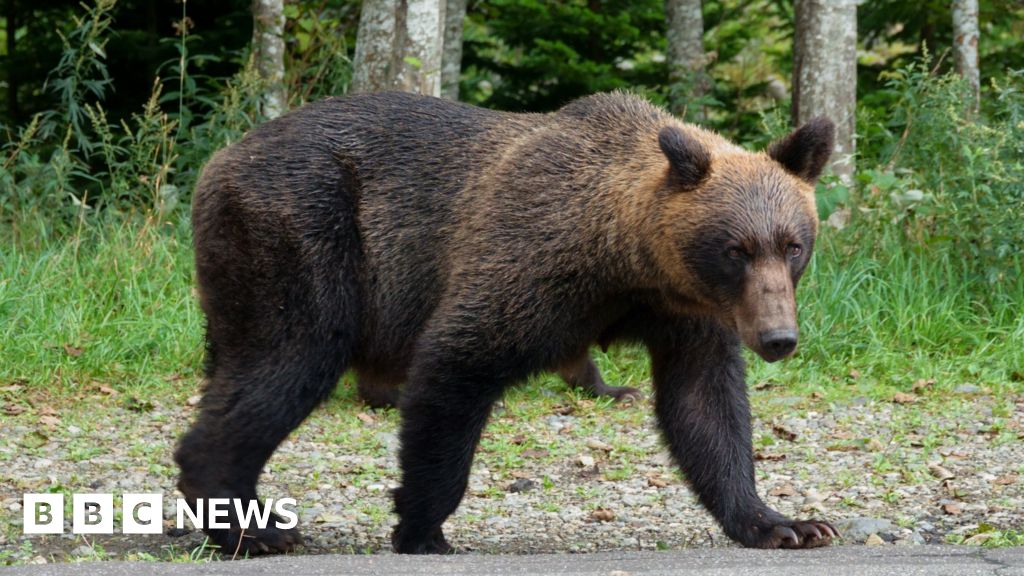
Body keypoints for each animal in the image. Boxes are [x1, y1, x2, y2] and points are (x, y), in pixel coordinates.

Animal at [175, 90, 837, 556]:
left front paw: (785, 523)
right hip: (305, 234)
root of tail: (220, 159)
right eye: (736, 249)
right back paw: (252, 528)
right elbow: (458, 360)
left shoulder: (685, 312)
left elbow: (704, 406)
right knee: (289, 359)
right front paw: (422, 526)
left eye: (793, 244)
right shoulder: (531, 257)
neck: (626, 257)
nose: (778, 338)